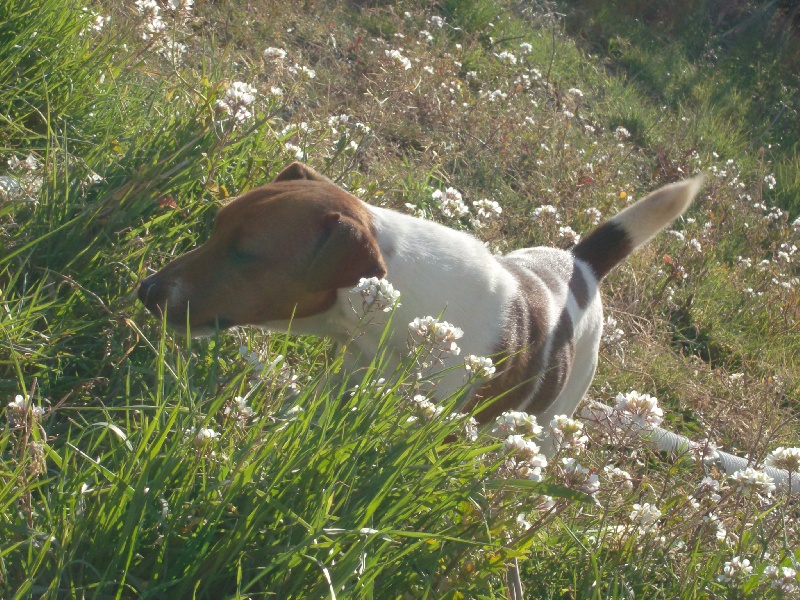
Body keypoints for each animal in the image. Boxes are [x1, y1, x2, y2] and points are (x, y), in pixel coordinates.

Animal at [139, 163, 708, 436]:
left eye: (245, 253)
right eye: (216, 226)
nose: (146, 291)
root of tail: (581, 264)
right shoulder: (345, 375)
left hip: (552, 419)